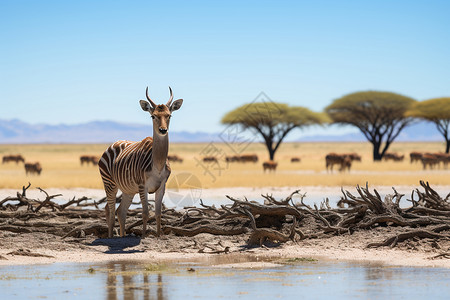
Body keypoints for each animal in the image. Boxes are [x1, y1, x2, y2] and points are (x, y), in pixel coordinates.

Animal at [98, 85, 183, 238]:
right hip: (109, 183)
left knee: (120, 211)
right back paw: (111, 237)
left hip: (128, 189)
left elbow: (158, 213)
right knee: (110, 209)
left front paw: (158, 236)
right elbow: (145, 213)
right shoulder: (143, 186)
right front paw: (143, 236)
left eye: (169, 115)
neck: (158, 165)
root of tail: (114, 143)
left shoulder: (162, 186)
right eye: (153, 116)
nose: (163, 130)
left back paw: (122, 237)